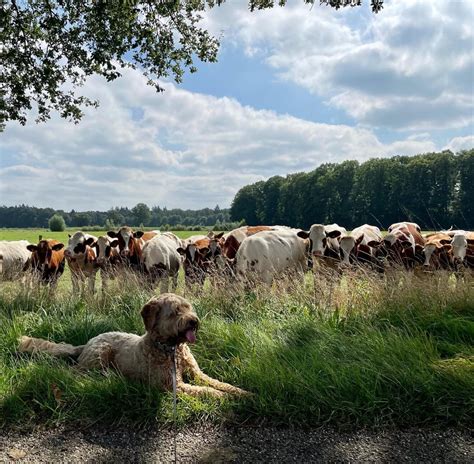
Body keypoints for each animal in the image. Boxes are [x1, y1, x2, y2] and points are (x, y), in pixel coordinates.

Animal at [18, 294, 248, 398]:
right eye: (175, 312)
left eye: (188, 307)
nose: (193, 321)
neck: (172, 349)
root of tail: (89, 342)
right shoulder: (173, 385)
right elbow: (206, 391)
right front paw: (226, 399)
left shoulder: (197, 373)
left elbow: (218, 383)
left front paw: (243, 393)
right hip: (100, 354)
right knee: (75, 371)